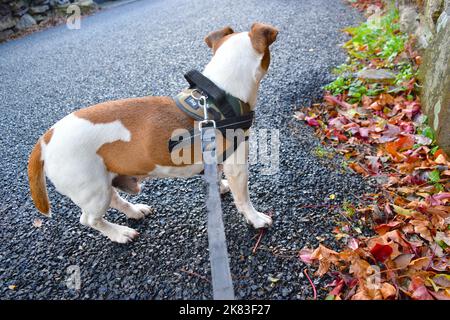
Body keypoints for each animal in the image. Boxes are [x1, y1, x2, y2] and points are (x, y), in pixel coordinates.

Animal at [28, 21, 278, 242]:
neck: (221, 94)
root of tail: (45, 139)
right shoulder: (237, 164)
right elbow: (243, 198)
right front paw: (255, 218)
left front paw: (220, 186)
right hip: (93, 191)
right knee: (89, 220)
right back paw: (119, 233)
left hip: (103, 183)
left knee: (115, 199)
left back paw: (134, 211)